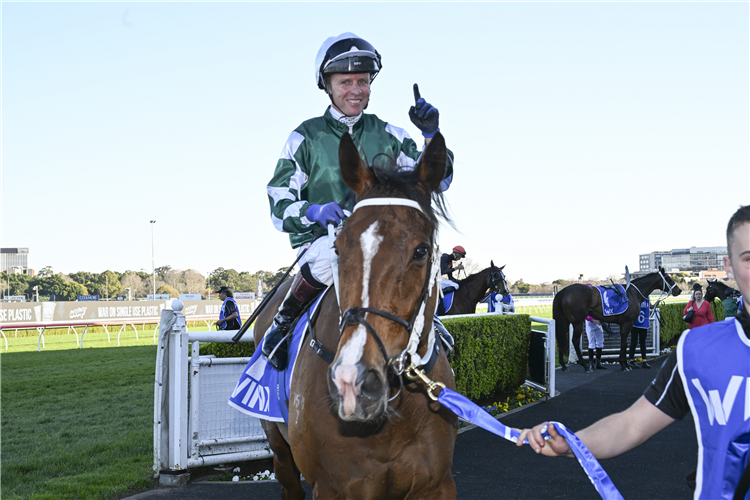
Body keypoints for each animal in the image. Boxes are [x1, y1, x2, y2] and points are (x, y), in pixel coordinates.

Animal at [253, 131, 458, 498]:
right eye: (338, 247)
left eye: (421, 250)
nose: (353, 380)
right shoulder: (332, 486)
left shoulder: (437, 484)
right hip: (278, 447)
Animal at [552, 270, 680, 372]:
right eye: (669, 278)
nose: (678, 290)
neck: (632, 293)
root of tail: (563, 291)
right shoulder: (627, 323)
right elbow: (623, 344)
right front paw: (624, 365)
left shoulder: (624, 324)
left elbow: (625, 344)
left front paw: (626, 364)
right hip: (577, 322)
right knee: (574, 341)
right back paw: (585, 366)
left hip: (564, 321)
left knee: (560, 339)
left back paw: (564, 366)